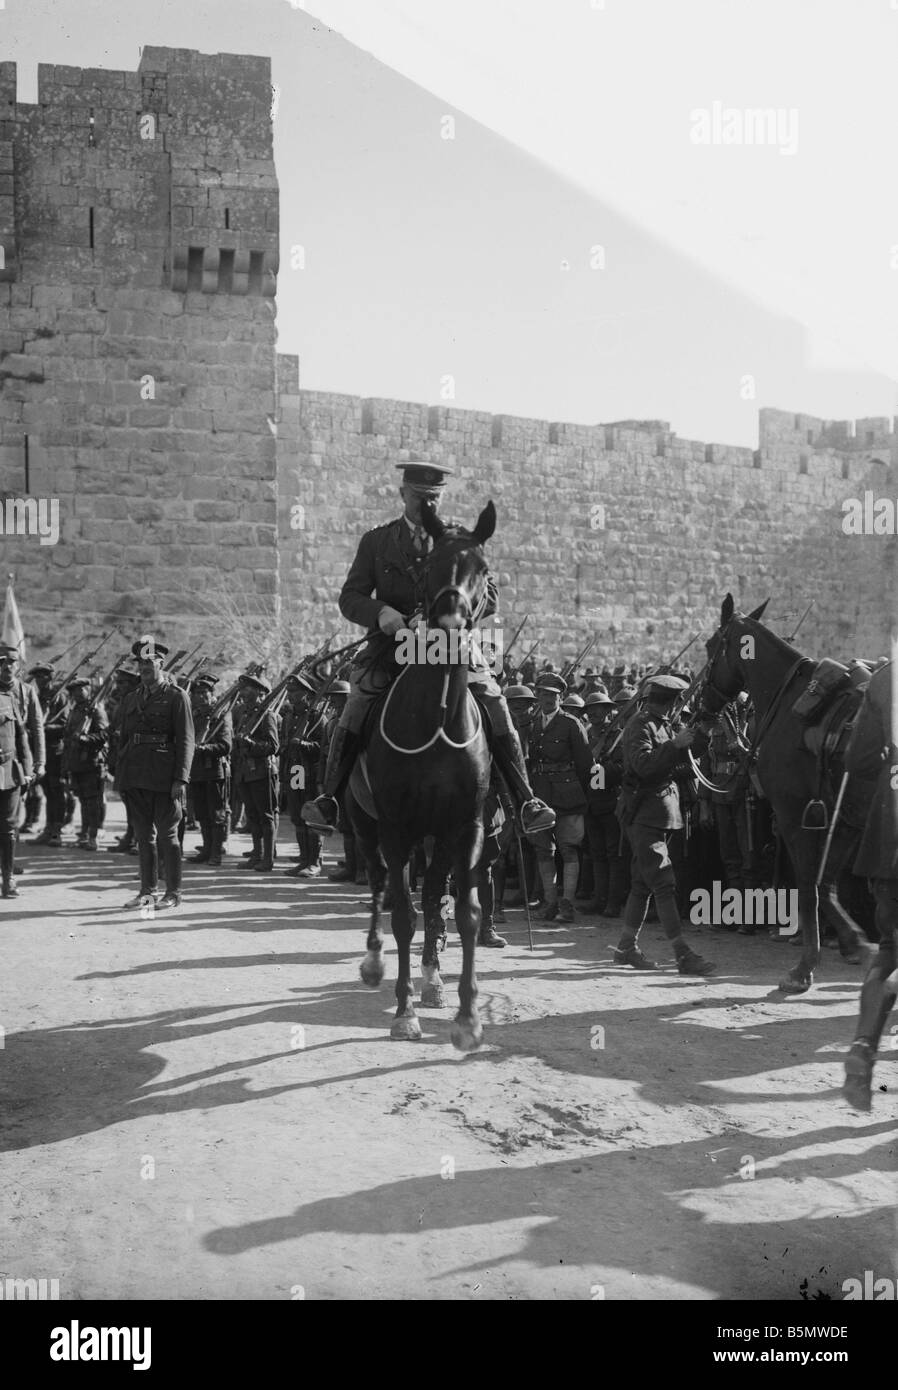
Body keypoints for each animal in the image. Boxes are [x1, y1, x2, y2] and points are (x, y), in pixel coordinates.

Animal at [350, 497, 500, 1045]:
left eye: (483, 570)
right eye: (429, 566)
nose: (451, 623)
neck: (436, 720)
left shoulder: (466, 826)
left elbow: (467, 911)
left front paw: (468, 1017)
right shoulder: (396, 827)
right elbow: (402, 914)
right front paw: (403, 1011)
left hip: (435, 837)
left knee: (435, 896)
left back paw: (433, 980)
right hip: (366, 824)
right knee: (379, 885)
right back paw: (375, 963)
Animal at [700, 592, 878, 995]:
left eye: (709, 645)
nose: (699, 702)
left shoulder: (795, 818)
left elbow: (809, 887)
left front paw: (805, 966)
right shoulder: (843, 820)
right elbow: (826, 885)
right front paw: (853, 942)